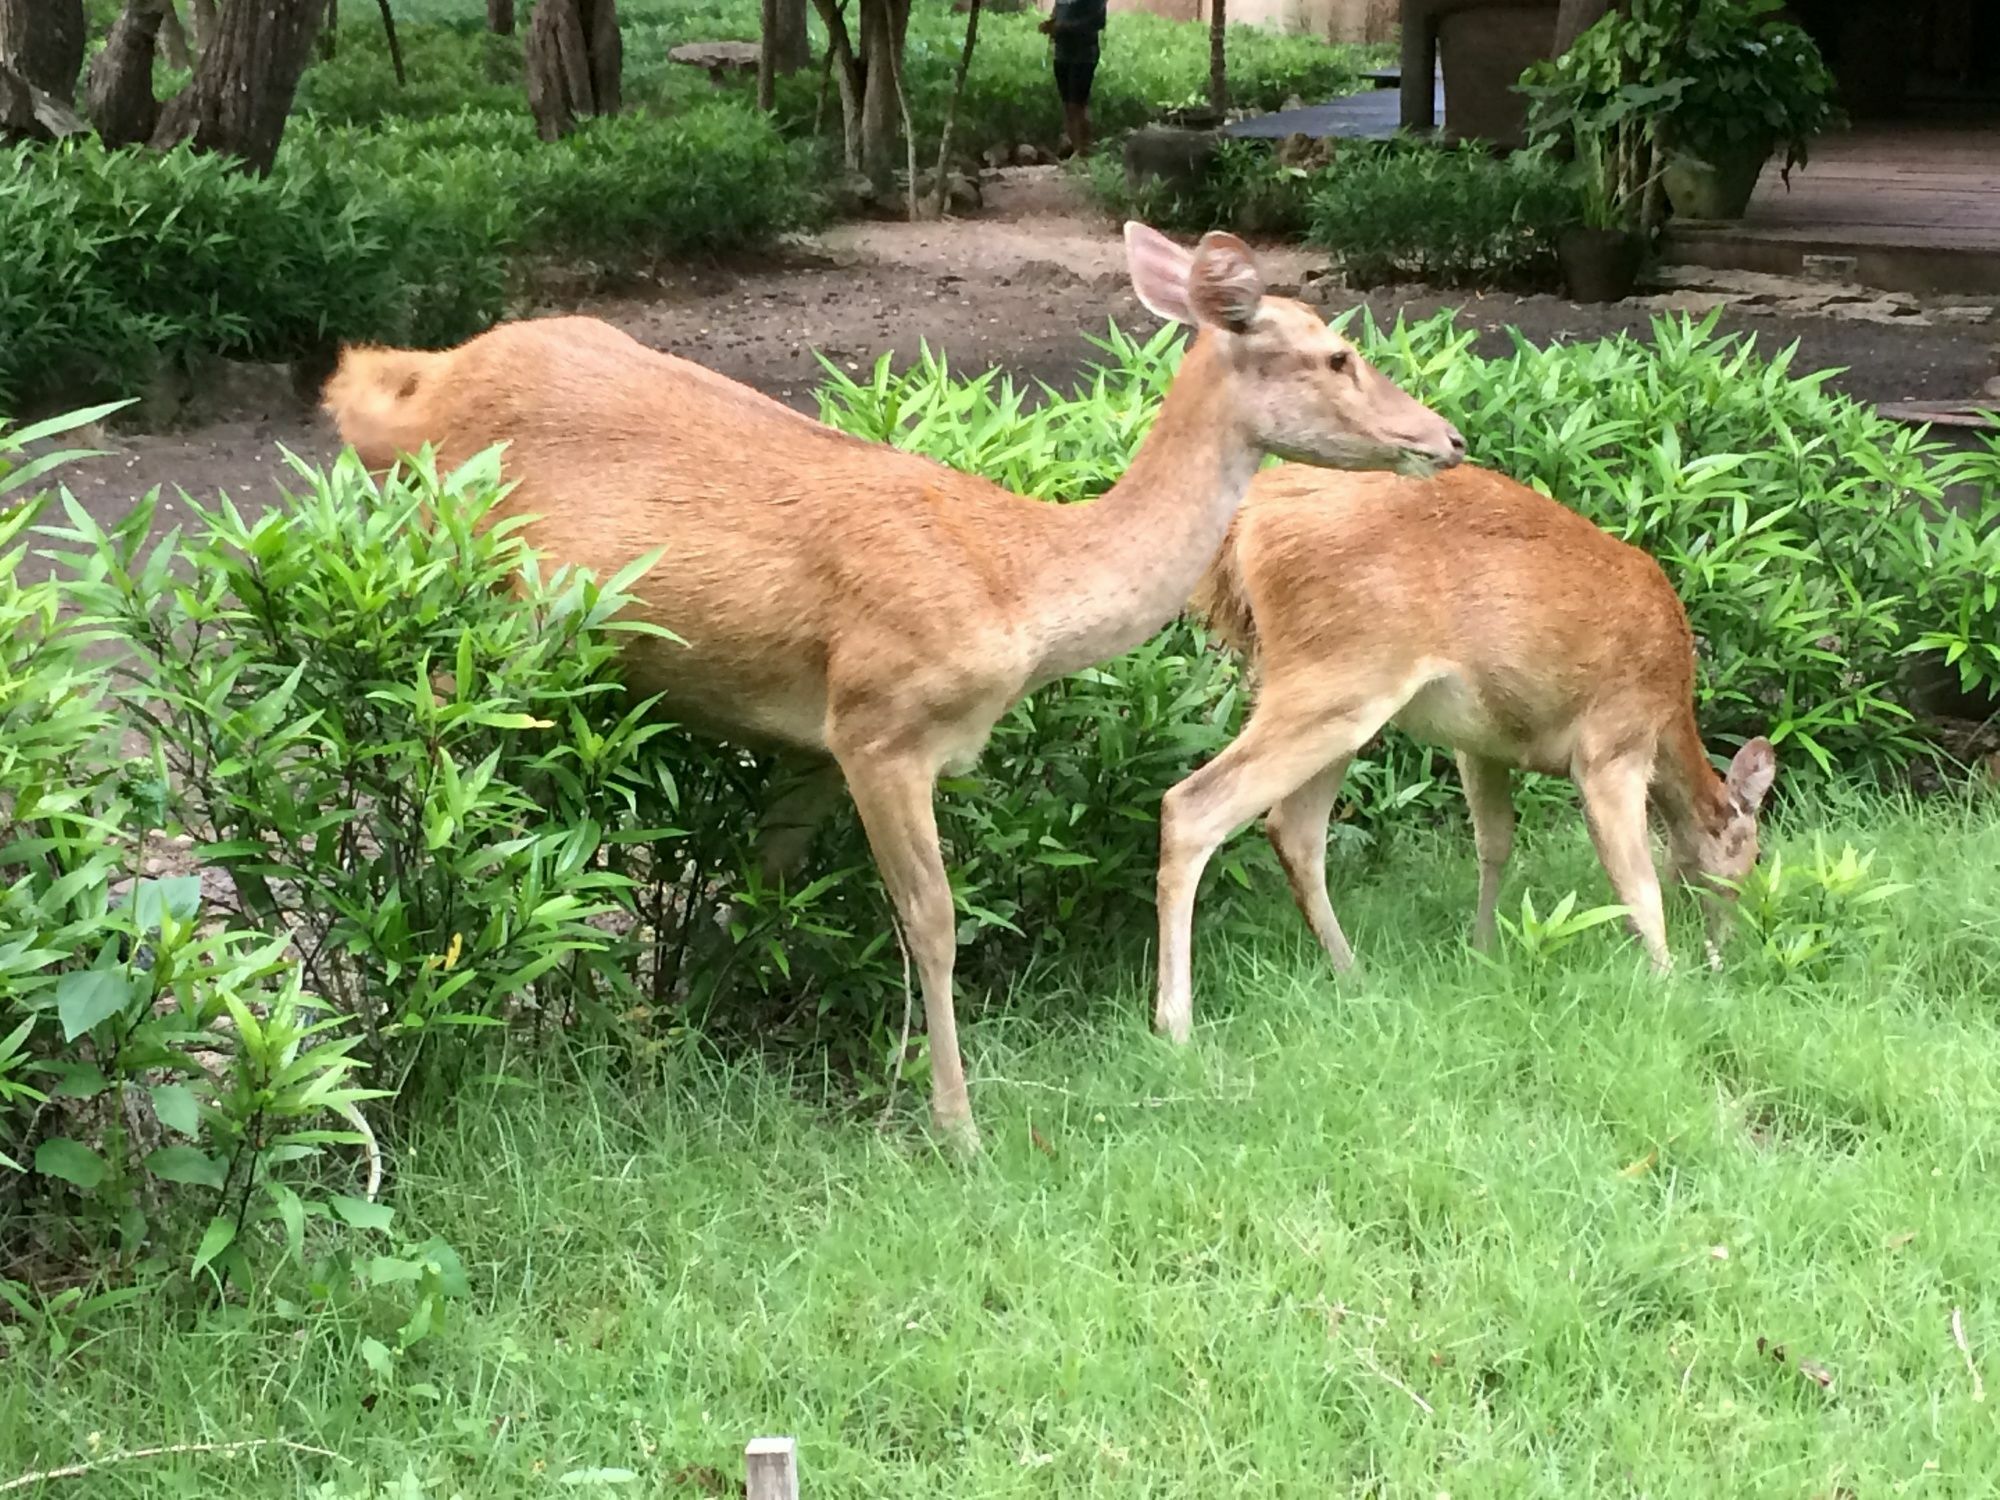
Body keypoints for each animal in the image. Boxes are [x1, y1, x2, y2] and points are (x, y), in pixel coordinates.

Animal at [324, 220, 1472, 1152]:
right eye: (1337, 354)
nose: (1447, 439)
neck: (1020, 587)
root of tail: (400, 392)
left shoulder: (813, 741)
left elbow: (760, 888)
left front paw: (694, 1035)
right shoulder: (881, 722)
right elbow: (930, 918)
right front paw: (955, 1123)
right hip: (483, 618)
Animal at [1160, 464, 1784, 1040]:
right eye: (1753, 857)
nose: (1731, 943)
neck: (1670, 713)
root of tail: (1246, 522)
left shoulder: (1481, 744)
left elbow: (1495, 842)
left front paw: (1482, 949)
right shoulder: (1612, 744)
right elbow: (1638, 881)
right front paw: (1668, 984)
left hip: (1330, 693)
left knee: (1293, 829)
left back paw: (1353, 975)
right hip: (1339, 672)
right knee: (1192, 807)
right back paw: (1177, 1028)